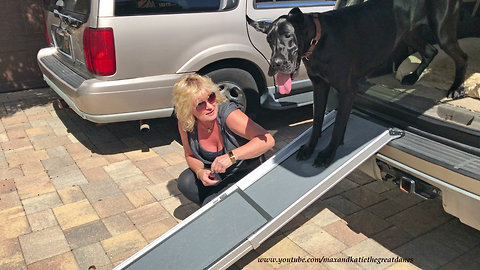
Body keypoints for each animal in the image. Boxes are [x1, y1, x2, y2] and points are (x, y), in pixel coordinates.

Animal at [249, 0, 466, 167]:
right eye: (269, 39)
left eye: (287, 35)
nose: (275, 64)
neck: (319, 41)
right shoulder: (319, 86)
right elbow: (317, 119)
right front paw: (310, 147)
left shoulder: (347, 90)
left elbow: (337, 126)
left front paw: (328, 153)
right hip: (408, 33)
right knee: (431, 51)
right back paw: (413, 77)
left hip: (442, 31)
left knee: (461, 56)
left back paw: (457, 88)